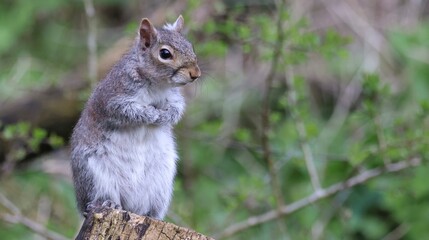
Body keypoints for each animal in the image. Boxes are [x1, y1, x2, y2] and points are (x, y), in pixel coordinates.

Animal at [69, 15, 200, 219]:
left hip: (161, 184)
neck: (157, 85)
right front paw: (152, 114)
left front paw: (165, 116)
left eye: (190, 46)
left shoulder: (175, 98)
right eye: (165, 53)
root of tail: (131, 207)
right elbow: (128, 111)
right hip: (95, 176)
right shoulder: (113, 97)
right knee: (100, 197)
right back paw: (108, 203)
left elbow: (177, 110)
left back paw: (150, 215)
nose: (196, 73)